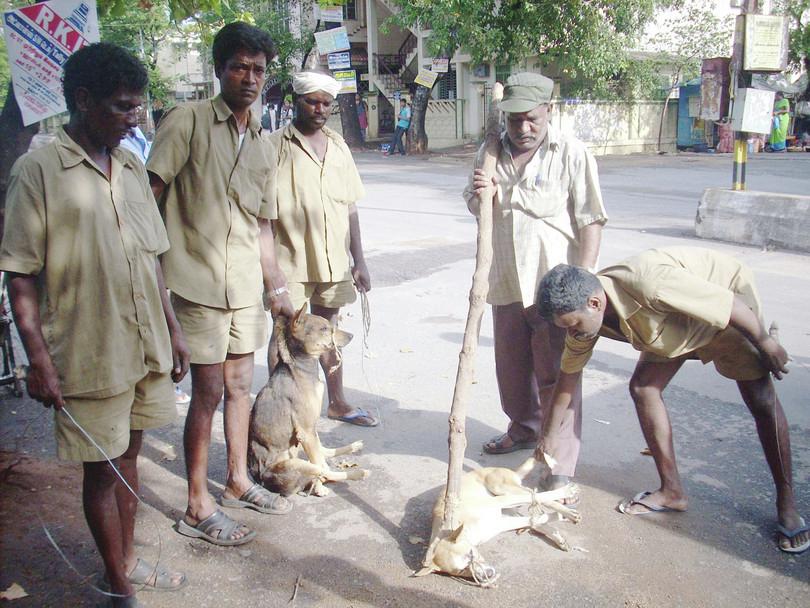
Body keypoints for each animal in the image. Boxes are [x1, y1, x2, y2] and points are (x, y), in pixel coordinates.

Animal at [246, 306, 370, 496]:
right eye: (325, 329)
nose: (351, 336)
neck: (302, 367)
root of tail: (264, 482)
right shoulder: (305, 431)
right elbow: (321, 464)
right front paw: (319, 486)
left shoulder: (310, 428)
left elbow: (322, 455)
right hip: (297, 462)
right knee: (323, 469)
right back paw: (357, 473)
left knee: (325, 455)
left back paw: (353, 448)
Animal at [416, 456, 580, 584]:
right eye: (461, 571)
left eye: (470, 554)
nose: (488, 575)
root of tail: (507, 470)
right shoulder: (499, 524)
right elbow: (534, 519)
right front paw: (556, 519)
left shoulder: (498, 504)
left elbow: (539, 503)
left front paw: (562, 509)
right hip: (508, 510)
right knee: (533, 515)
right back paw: (558, 532)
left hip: (502, 489)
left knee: (537, 496)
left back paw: (566, 503)